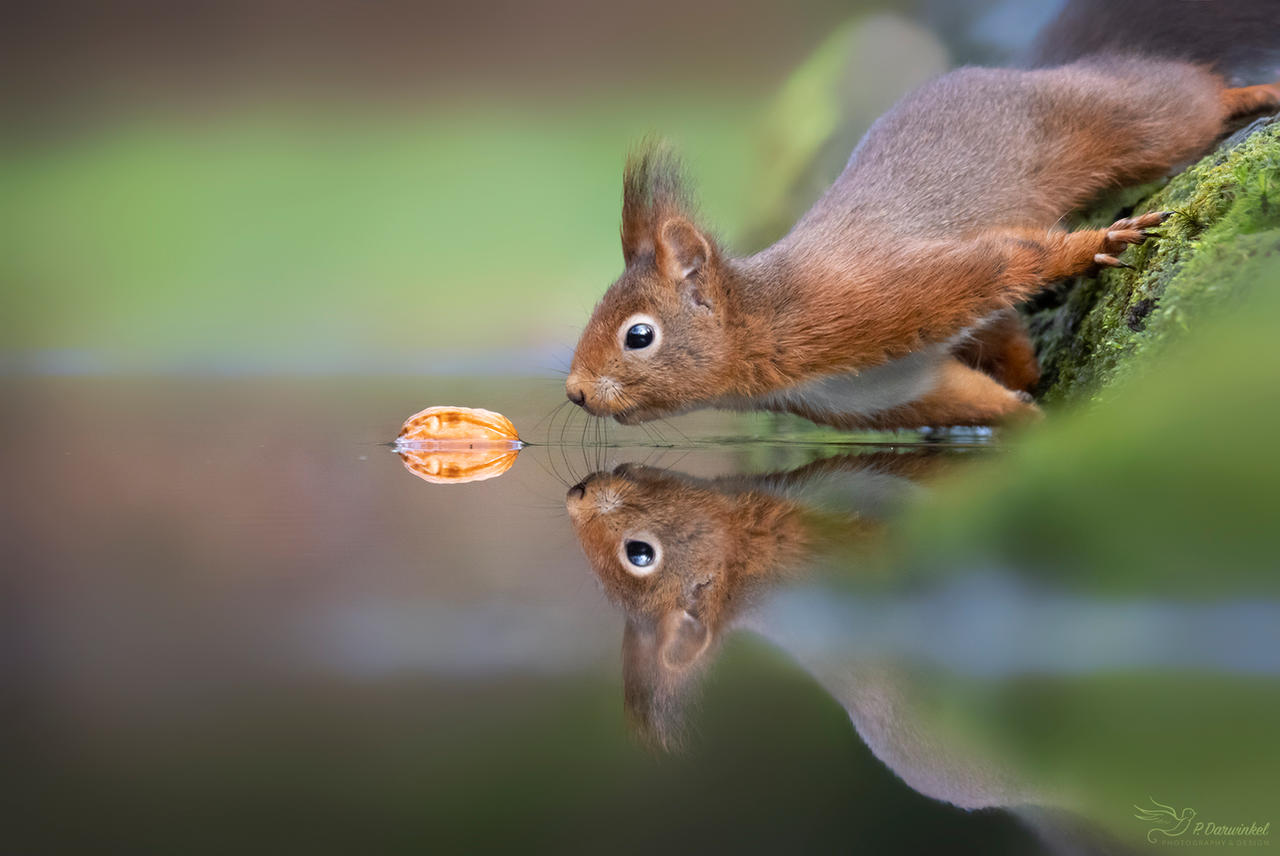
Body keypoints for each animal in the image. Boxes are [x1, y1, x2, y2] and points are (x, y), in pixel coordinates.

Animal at [565, 4, 1280, 430]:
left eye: (638, 335)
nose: (574, 392)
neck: (771, 322)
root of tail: (1022, 73)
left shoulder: (888, 287)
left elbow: (1008, 261)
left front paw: (1102, 240)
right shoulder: (896, 389)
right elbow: (979, 399)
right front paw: (1032, 418)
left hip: (1116, 122)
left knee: (1176, 100)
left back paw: (1252, 93)